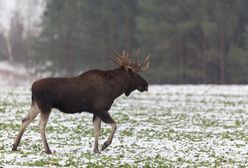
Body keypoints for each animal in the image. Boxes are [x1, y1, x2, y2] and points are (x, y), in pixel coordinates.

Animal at [12, 50, 149, 154]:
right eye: (135, 74)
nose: (146, 85)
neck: (115, 90)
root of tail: (32, 87)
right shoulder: (100, 108)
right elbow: (114, 125)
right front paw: (105, 145)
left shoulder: (96, 111)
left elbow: (97, 130)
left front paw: (96, 150)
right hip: (45, 106)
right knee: (41, 125)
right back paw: (47, 149)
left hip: (36, 105)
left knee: (25, 120)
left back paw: (15, 146)